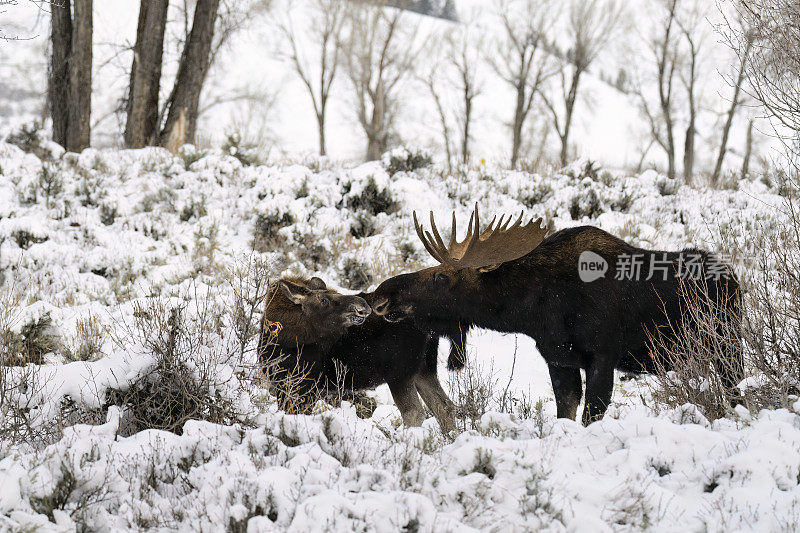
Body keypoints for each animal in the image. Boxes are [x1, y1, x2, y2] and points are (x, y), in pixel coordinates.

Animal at [256, 278, 456, 432]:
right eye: (323, 300)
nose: (363, 306)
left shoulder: (302, 384)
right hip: (424, 368)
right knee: (444, 406)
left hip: (399, 372)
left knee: (414, 413)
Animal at [372, 204, 740, 424]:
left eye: (440, 277)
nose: (382, 296)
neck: (537, 312)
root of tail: (734, 279)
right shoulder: (559, 358)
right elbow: (566, 412)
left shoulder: (603, 355)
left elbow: (591, 415)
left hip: (726, 347)